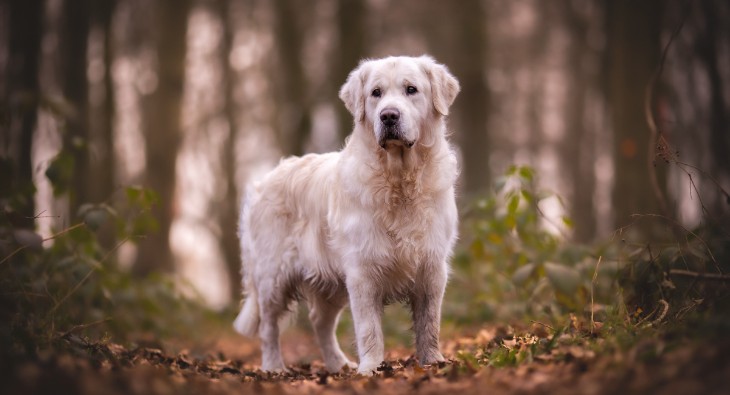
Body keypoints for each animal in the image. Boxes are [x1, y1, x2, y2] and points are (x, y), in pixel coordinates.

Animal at [236, 55, 458, 374]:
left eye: (411, 89)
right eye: (376, 93)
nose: (388, 116)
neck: (399, 181)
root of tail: (262, 181)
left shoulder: (431, 266)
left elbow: (430, 323)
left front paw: (433, 361)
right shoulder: (362, 270)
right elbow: (369, 328)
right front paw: (370, 368)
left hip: (330, 283)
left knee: (320, 322)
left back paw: (338, 364)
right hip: (272, 278)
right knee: (269, 327)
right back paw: (274, 367)